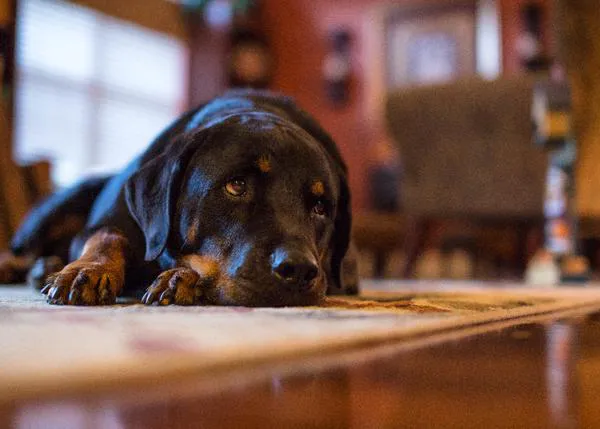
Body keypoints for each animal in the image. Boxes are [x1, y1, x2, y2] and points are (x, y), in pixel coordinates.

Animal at [2, 89, 358, 304]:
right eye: (236, 185)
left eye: (320, 206)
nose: (297, 269)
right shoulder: (114, 219)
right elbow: (106, 237)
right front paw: (88, 270)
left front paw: (182, 278)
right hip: (59, 207)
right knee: (26, 248)